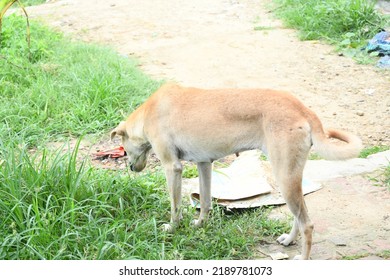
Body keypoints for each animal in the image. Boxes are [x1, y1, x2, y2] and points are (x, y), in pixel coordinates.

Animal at [110, 83, 362, 260]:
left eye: (123, 148)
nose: (131, 168)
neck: (148, 112)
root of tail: (302, 108)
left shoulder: (173, 168)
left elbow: (175, 207)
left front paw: (172, 228)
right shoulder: (205, 164)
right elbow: (206, 202)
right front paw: (200, 225)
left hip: (284, 176)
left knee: (307, 224)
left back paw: (302, 257)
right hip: (290, 176)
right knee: (299, 217)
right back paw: (290, 240)